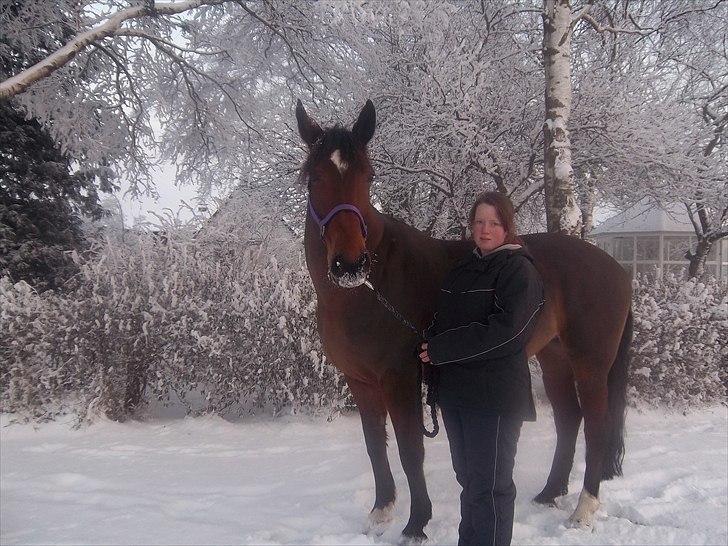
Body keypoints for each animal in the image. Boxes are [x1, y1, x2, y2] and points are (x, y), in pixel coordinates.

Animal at [296, 99, 632, 540]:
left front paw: (416, 523)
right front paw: (380, 513)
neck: (368, 290)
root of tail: (617, 269)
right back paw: (549, 493)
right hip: (555, 358)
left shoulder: (400, 377)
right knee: (569, 419)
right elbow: (374, 445)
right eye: (314, 178)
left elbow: (410, 448)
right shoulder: (361, 380)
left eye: (367, 177)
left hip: (590, 364)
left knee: (595, 425)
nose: (350, 264)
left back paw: (583, 510)